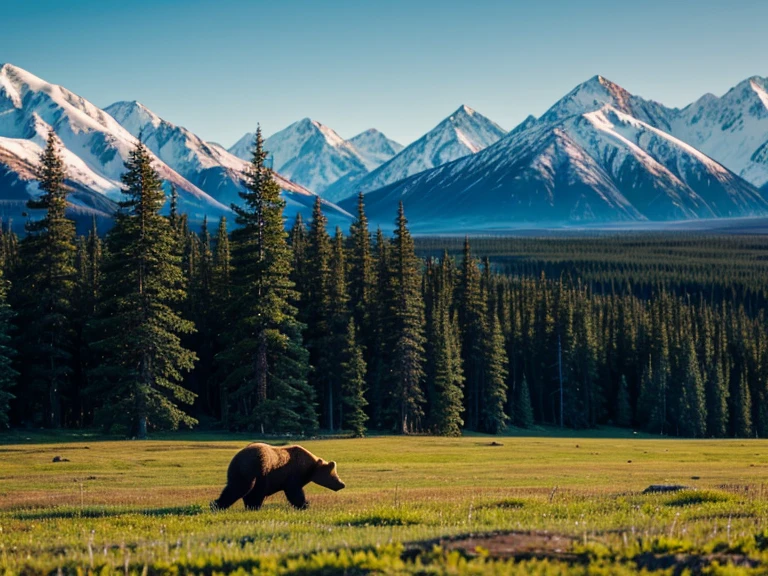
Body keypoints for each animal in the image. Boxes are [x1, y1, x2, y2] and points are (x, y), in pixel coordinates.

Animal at [208, 444, 344, 510]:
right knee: (242, 488)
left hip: (240, 472)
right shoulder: (292, 475)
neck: (309, 469)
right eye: (333, 475)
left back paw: (217, 504)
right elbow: (294, 492)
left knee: (235, 487)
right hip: (257, 469)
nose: (342, 484)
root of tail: (238, 459)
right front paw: (305, 504)